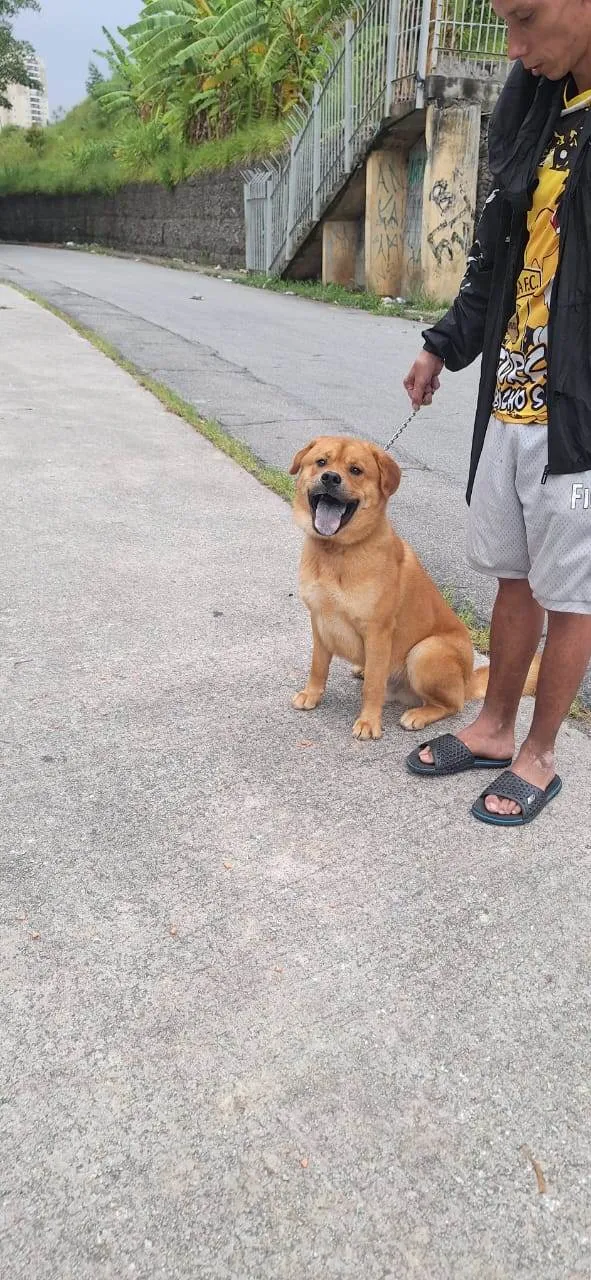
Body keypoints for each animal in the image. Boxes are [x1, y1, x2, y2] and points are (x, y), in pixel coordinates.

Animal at [290, 437, 539, 742]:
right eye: (321, 462)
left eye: (356, 470)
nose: (330, 478)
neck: (335, 553)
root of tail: (466, 681)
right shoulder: (319, 620)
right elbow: (318, 667)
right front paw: (312, 695)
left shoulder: (378, 631)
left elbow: (373, 686)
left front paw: (369, 721)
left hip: (425, 651)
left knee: (452, 705)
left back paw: (419, 714)